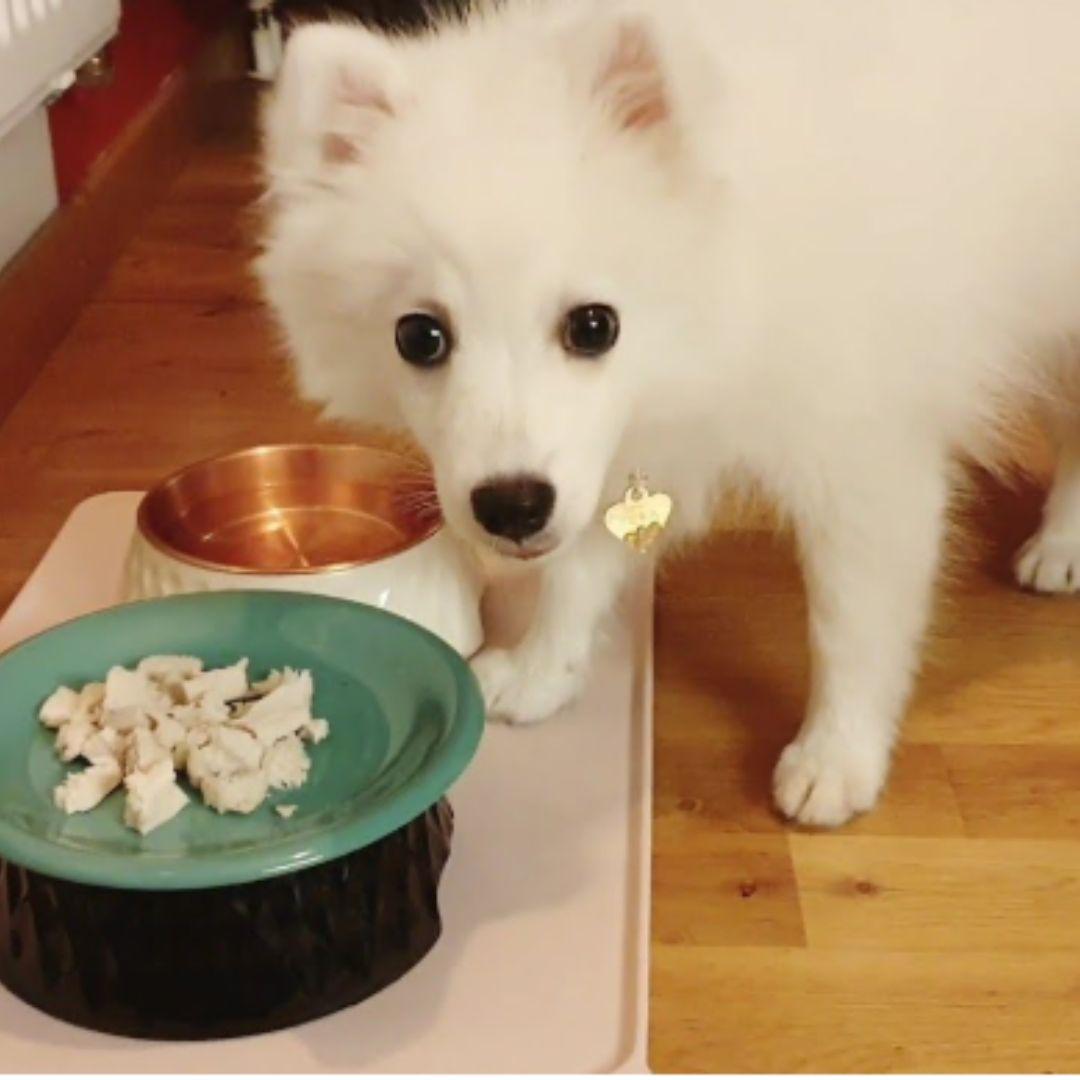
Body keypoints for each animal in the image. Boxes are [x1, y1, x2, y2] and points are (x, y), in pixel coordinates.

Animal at [257, 2, 1080, 825]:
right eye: (419, 337)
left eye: (594, 326)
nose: (510, 507)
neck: (739, 272)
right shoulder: (602, 456)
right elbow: (573, 573)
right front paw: (541, 672)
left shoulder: (864, 456)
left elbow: (850, 625)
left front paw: (836, 757)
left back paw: (1060, 545)